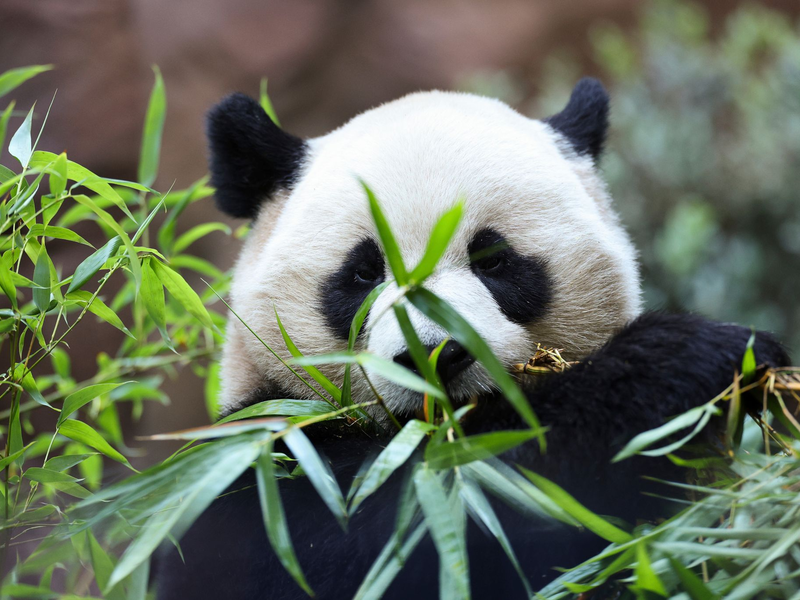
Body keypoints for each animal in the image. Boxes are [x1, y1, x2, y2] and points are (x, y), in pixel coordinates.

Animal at [156, 79, 789, 599]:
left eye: (492, 259)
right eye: (363, 272)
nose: (432, 355)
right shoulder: (253, 460)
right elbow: (386, 527)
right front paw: (690, 360)